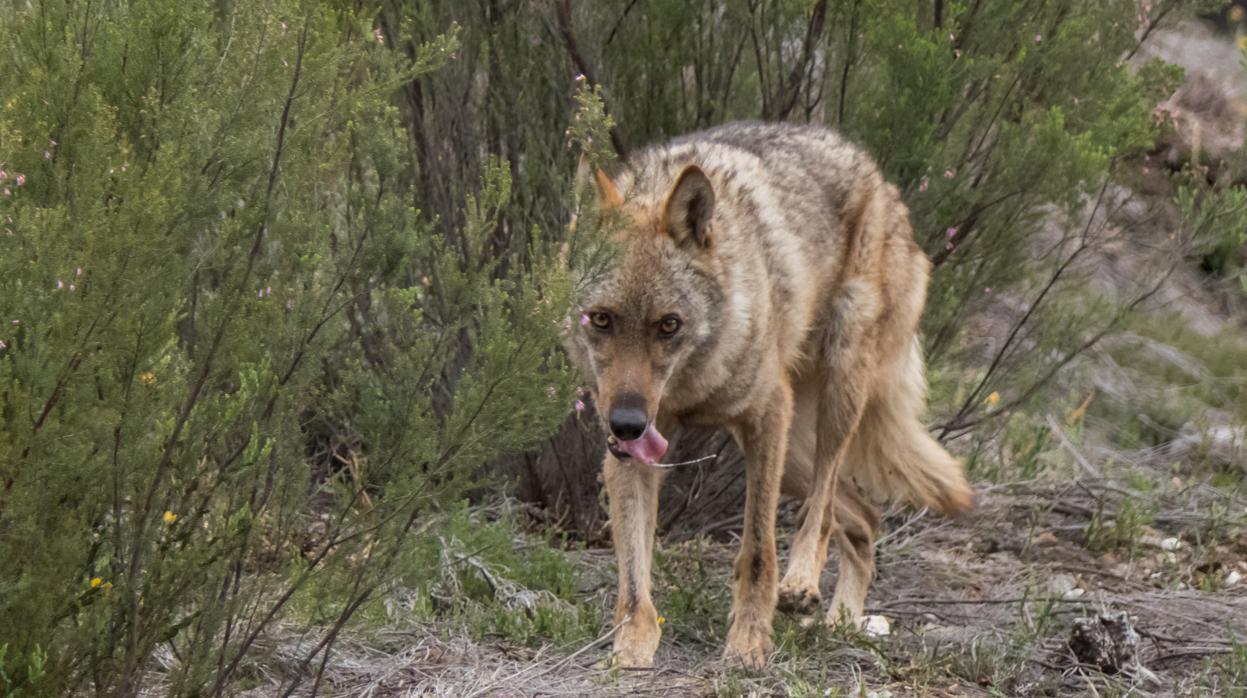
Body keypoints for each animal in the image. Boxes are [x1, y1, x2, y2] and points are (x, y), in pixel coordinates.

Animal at [566, 122, 972, 668]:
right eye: (601, 319)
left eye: (668, 325)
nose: (627, 423)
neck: (692, 384)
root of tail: (881, 181)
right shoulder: (630, 454)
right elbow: (633, 573)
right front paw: (632, 645)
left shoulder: (764, 417)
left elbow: (758, 550)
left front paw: (749, 643)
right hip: (794, 454)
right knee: (865, 518)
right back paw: (843, 622)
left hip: (832, 400)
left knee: (822, 509)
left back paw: (802, 584)